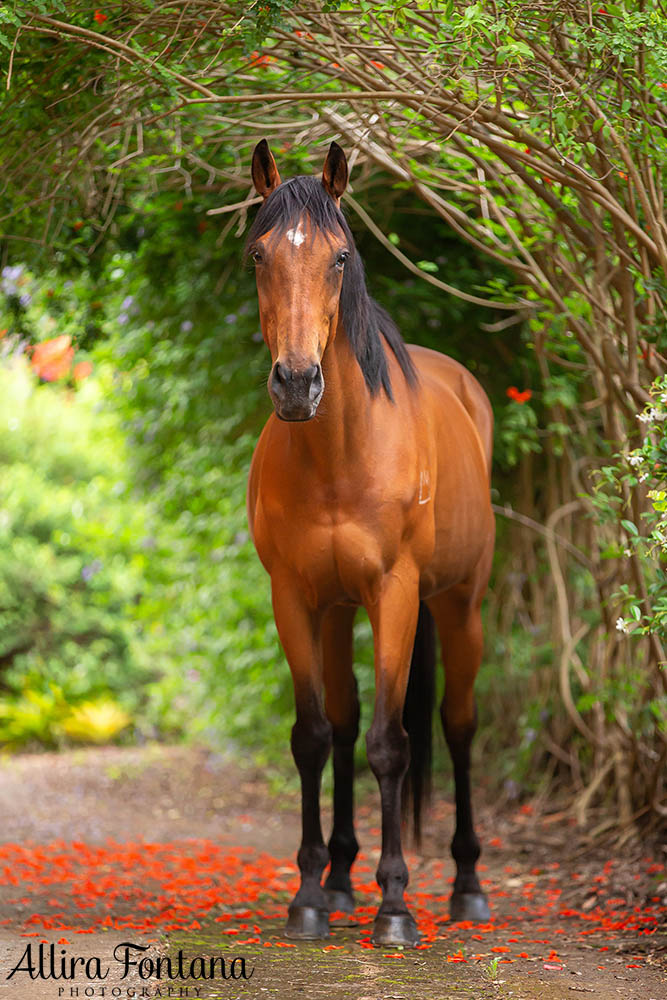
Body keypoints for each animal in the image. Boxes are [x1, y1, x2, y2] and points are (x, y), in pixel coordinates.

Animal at [245, 139, 496, 944]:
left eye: (339, 257)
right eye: (259, 253)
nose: (296, 384)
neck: (336, 454)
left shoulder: (396, 594)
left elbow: (393, 743)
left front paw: (395, 907)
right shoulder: (295, 599)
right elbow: (314, 735)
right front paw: (308, 895)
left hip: (458, 605)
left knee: (456, 726)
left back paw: (465, 884)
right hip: (336, 612)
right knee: (347, 725)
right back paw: (339, 879)